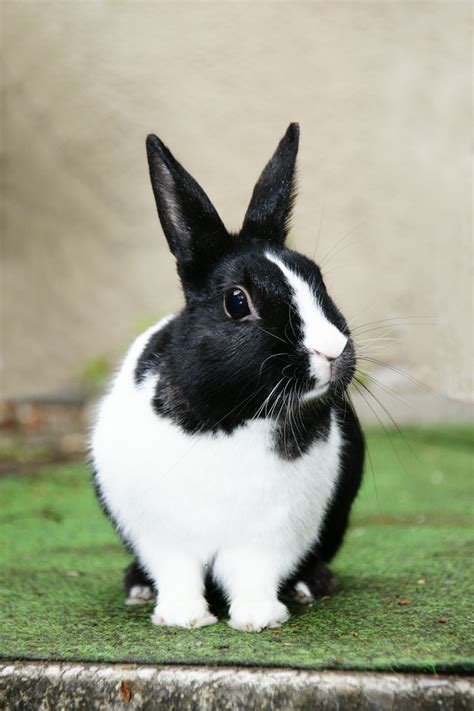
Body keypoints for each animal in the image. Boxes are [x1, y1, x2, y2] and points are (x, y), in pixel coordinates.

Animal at [91, 123, 365, 631]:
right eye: (237, 302)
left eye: (317, 279)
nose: (333, 351)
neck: (231, 417)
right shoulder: (164, 535)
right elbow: (177, 573)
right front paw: (183, 618)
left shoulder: (270, 535)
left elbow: (253, 574)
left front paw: (258, 618)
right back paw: (137, 587)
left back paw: (310, 585)